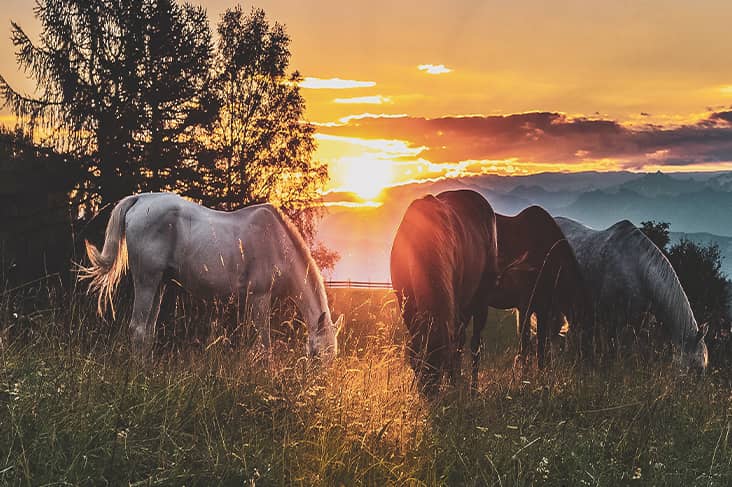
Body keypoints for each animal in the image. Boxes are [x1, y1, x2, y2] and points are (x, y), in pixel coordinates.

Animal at [80, 192, 342, 360]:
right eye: (317, 356)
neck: (278, 243)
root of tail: (140, 200)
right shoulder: (259, 297)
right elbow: (264, 346)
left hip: (159, 284)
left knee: (148, 331)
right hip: (146, 280)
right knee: (138, 329)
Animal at [390, 189, 499, 395]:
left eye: (440, 365)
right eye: (417, 365)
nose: (430, 394)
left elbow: (456, 346)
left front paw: (453, 382)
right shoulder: (406, 305)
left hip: (480, 301)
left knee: (474, 345)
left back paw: (472, 388)